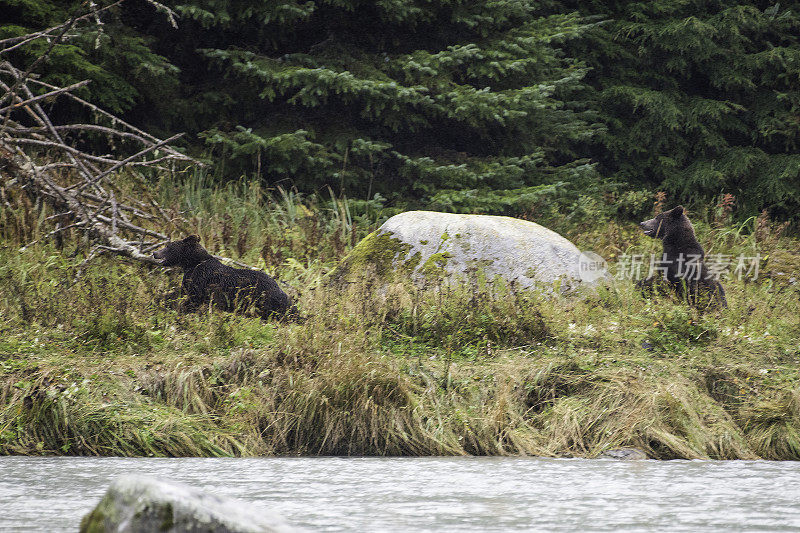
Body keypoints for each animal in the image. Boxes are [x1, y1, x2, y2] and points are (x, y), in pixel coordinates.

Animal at [152, 235, 292, 318]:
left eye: (168, 246)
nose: (154, 252)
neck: (192, 264)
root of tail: (278, 287)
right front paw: (160, 299)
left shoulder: (199, 280)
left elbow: (189, 297)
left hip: (264, 297)